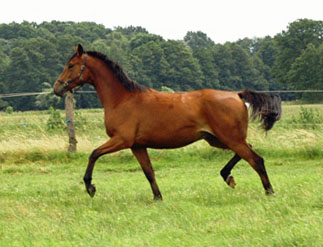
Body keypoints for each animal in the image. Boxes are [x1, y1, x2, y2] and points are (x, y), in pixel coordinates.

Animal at [52, 44, 280, 199]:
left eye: (71, 65)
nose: (57, 88)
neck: (123, 99)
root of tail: (237, 95)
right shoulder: (137, 146)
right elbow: (149, 172)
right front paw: (158, 197)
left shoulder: (122, 140)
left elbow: (94, 154)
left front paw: (90, 187)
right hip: (218, 139)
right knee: (249, 151)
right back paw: (228, 177)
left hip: (230, 138)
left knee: (256, 160)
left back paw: (269, 191)